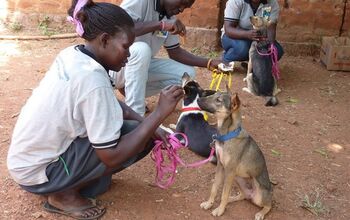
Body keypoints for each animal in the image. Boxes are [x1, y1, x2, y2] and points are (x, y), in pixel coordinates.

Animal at [198, 88, 272, 219]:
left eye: (218, 100)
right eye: (214, 94)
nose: (197, 99)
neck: (226, 135)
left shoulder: (229, 170)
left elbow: (224, 193)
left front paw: (220, 210)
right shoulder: (221, 166)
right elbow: (214, 188)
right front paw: (209, 203)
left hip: (257, 193)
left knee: (269, 205)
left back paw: (260, 213)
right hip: (237, 178)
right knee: (243, 195)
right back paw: (232, 199)